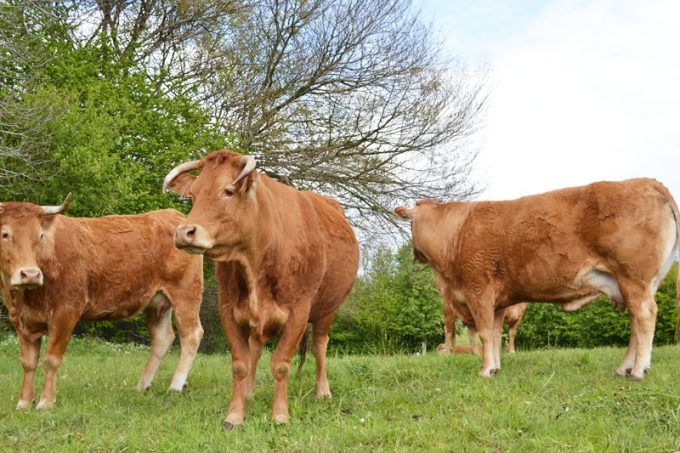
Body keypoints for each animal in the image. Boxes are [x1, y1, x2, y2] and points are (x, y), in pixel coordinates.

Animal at [0, 195, 204, 410]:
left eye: (40, 236)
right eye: (5, 234)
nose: (30, 274)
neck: (23, 298)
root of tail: (172, 214)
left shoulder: (66, 311)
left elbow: (51, 359)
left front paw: (45, 402)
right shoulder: (22, 321)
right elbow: (28, 363)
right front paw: (24, 402)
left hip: (186, 293)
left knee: (191, 335)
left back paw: (175, 386)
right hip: (158, 302)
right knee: (163, 338)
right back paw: (141, 386)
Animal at [162, 149, 359, 428]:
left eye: (228, 191)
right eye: (193, 194)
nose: (184, 232)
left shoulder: (298, 311)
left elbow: (281, 364)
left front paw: (280, 415)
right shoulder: (228, 308)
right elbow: (240, 364)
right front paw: (235, 415)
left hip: (327, 308)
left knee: (320, 345)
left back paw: (323, 392)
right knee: (255, 346)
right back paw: (250, 391)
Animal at [395, 178, 680, 380]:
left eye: (410, 225)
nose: (413, 254)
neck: (456, 234)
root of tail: (645, 181)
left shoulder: (479, 290)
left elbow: (485, 333)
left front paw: (485, 371)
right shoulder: (499, 302)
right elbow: (496, 335)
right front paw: (495, 367)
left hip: (634, 279)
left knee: (645, 317)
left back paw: (638, 370)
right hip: (635, 284)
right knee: (635, 323)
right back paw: (624, 368)